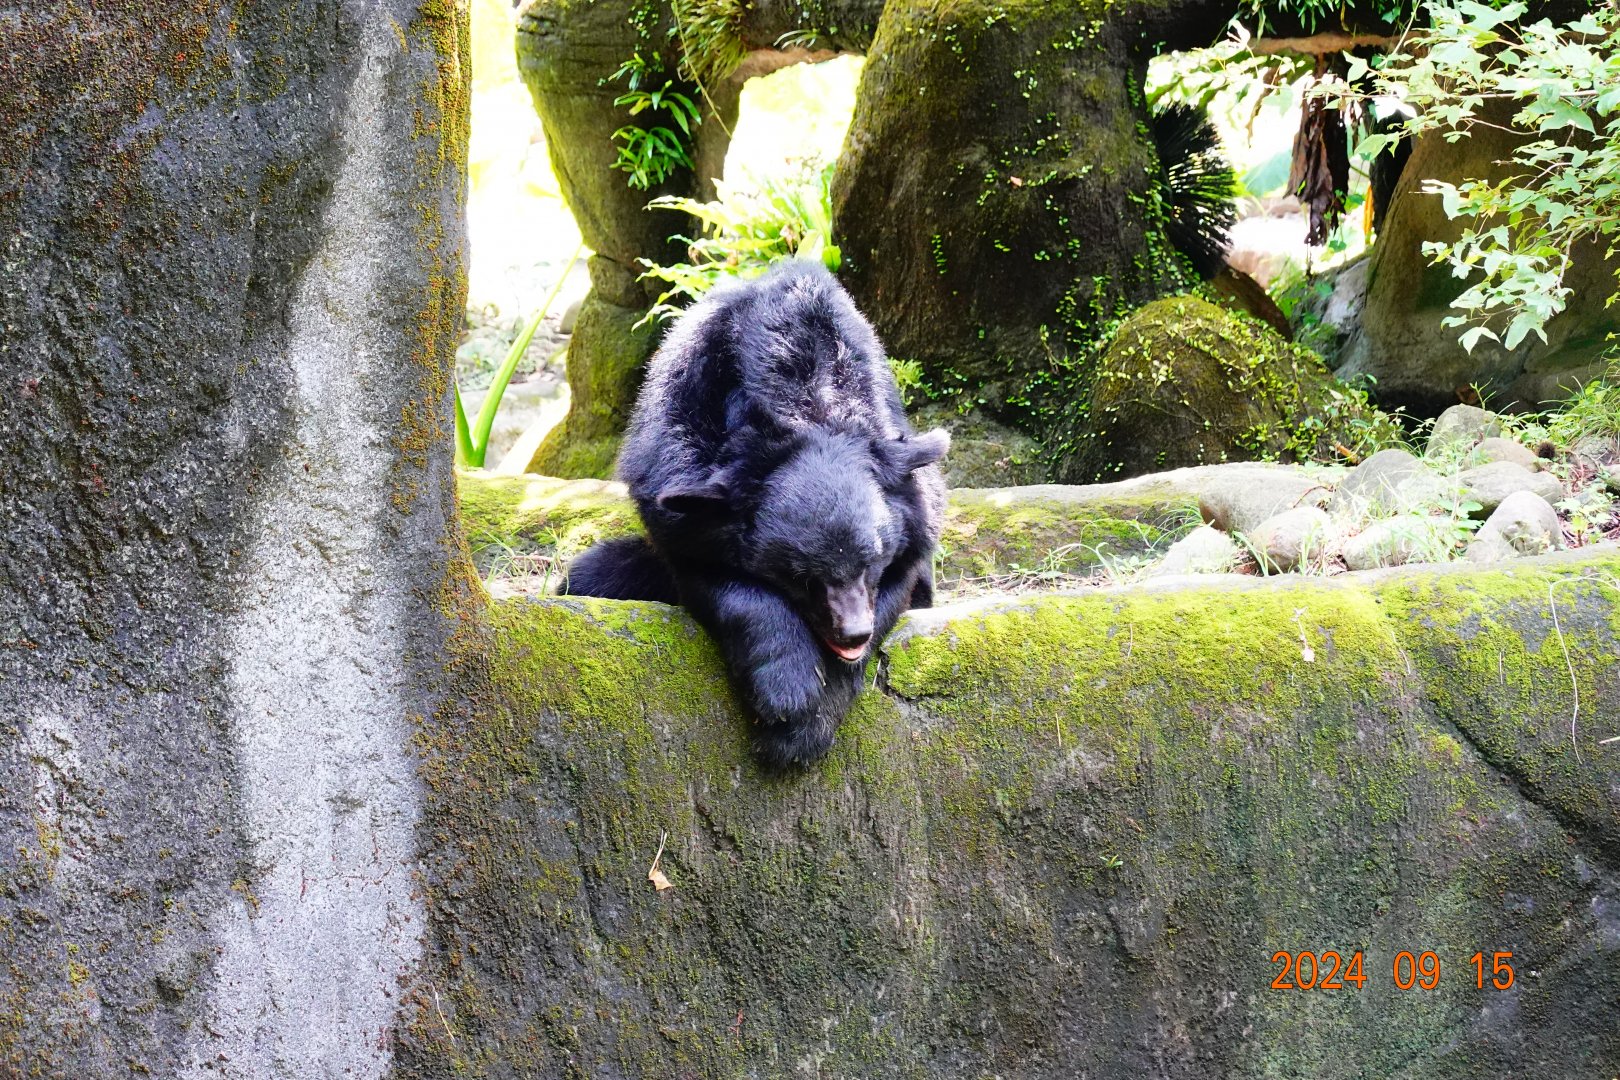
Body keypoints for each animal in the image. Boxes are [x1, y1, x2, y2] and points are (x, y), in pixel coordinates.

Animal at [565, 260, 948, 768]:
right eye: (800, 577)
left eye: (872, 563)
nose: (853, 634)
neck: (804, 396)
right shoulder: (677, 463)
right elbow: (715, 571)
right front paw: (788, 692)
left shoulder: (908, 500)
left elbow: (902, 582)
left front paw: (805, 726)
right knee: (592, 574)